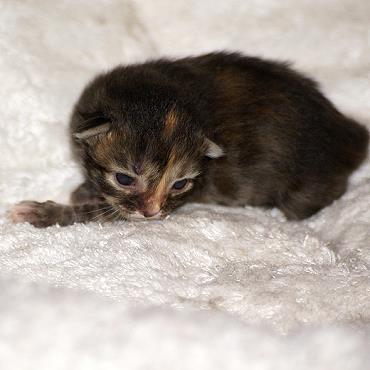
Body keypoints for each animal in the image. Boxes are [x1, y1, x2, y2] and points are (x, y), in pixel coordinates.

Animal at [10, 50, 368, 227]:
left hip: (305, 190)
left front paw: (45, 213)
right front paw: (84, 189)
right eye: (124, 178)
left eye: (180, 184)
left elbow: (101, 212)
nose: (152, 213)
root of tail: (348, 132)